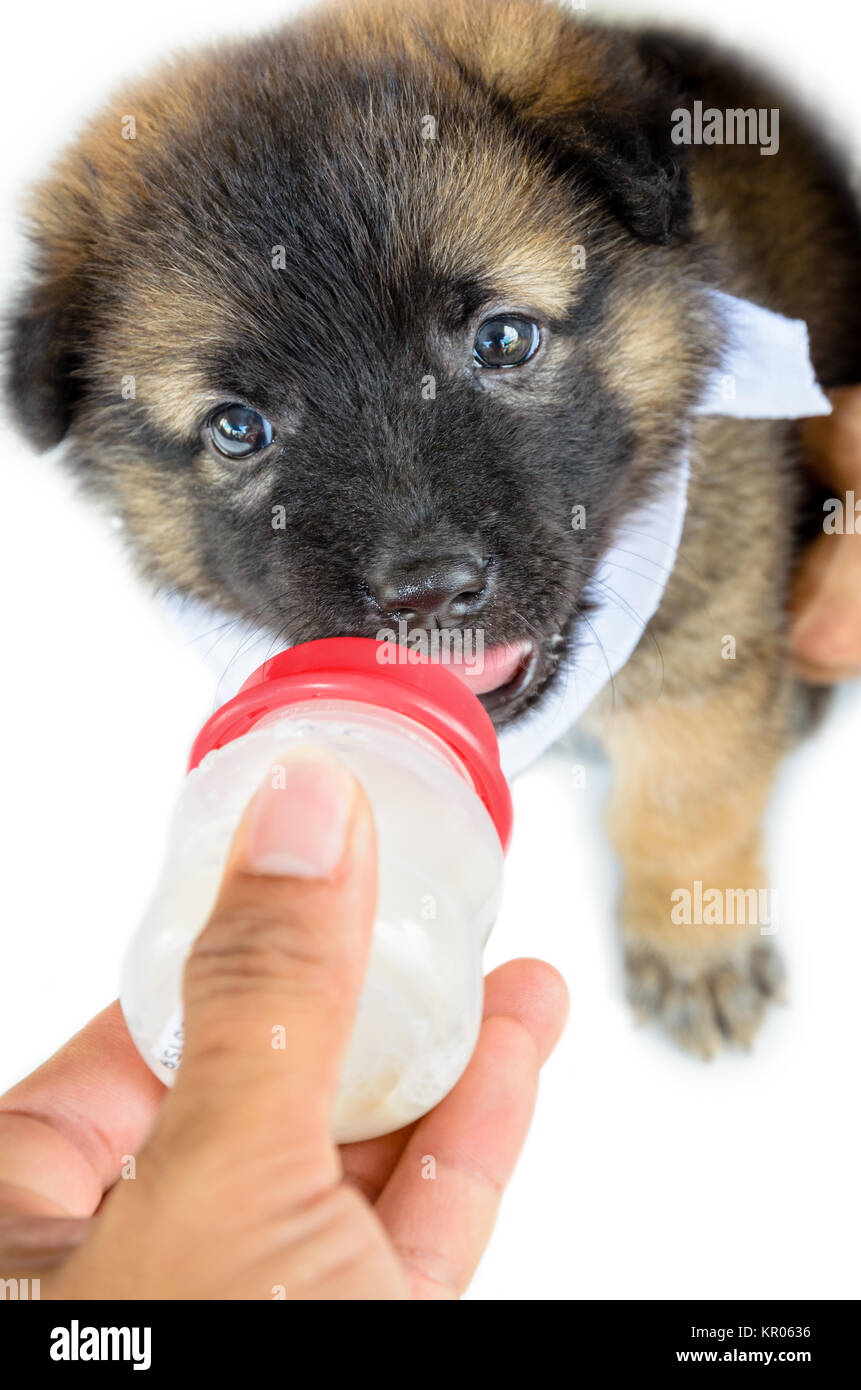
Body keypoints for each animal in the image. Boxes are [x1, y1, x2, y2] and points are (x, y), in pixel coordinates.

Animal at [8, 0, 861, 1050]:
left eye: (502, 338)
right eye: (238, 429)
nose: (427, 594)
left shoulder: (709, 618)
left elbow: (684, 791)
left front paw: (694, 943)